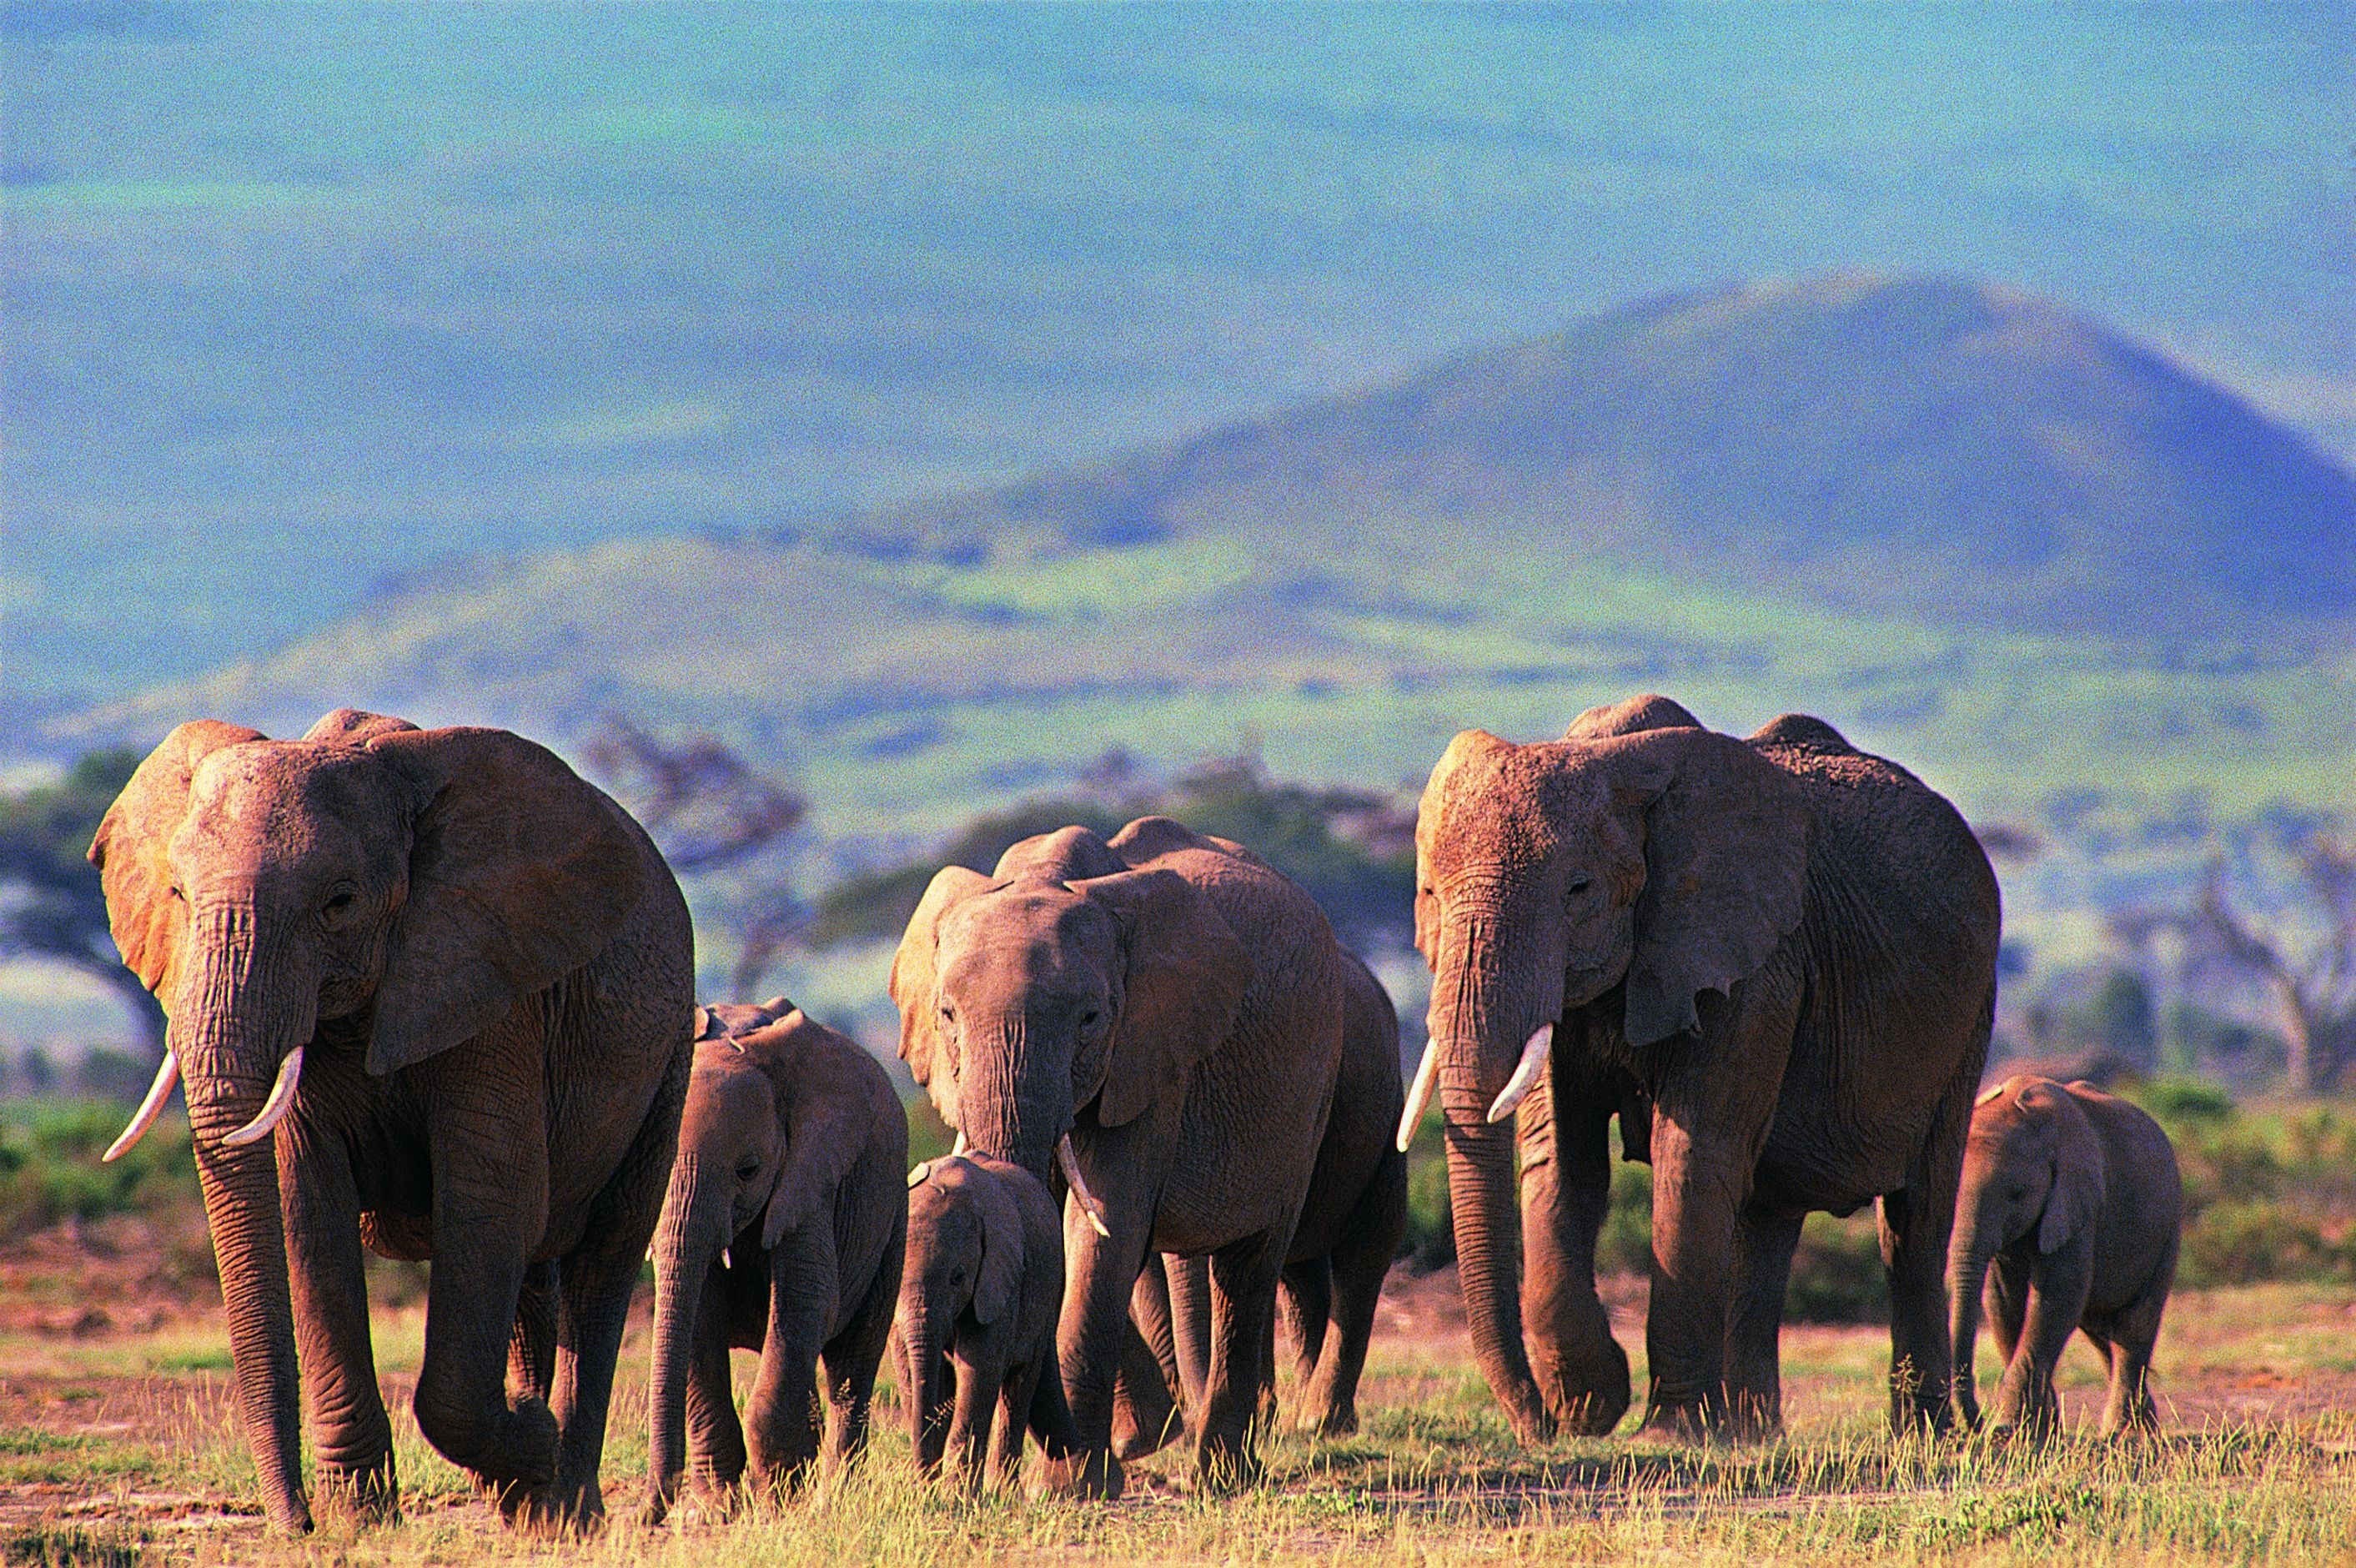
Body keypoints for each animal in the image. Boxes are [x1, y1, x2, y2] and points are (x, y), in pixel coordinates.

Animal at [88, 710, 692, 1533]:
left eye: (339, 903)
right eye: (178, 895)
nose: (294, 1521)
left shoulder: (491, 989)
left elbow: (488, 1196)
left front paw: (529, 1443)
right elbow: (310, 1207)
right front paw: (359, 1519)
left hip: (668, 1055)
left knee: (604, 1259)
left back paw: (564, 1504)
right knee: (533, 1274)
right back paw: (524, 1497)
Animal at [644, 998, 907, 1521]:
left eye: (748, 1171)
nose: (646, 1513)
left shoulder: (811, 1180)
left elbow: (808, 1302)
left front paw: (777, 1504)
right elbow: (697, 1317)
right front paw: (714, 1510)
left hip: (893, 1218)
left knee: (854, 1362)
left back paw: (832, 1498)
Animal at [895, 1152, 1079, 1492]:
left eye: (958, 1278)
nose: (920, 1483)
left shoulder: (1000, 1282)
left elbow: (980, 1369)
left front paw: (959, 1496)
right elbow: (913, 1371)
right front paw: (927, 1493)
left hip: (1049, 1292)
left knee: (1018, 1390)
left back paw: (1006, 1493)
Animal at [1405, 693, 2000, 1443]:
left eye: (1578, 889)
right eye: (1429, 893)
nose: (1534, 1426)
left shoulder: (1754, 965)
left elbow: (1691, 1154)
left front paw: (1665, 1431)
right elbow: (1560, 1161)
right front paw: (1589, 1404)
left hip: (1969, 1014)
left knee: (1912, 1224)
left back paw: (1921, 1436)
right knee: (1765, 1216)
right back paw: (1751, 1434)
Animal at [1950, 1075, 2182, 1438]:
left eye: (2017, 1194)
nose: (1981, 1426)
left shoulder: (2079, 1200)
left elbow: (2057, 1297)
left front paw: (2017, 1428)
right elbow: (2002, 1302)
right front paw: (2040, 1430)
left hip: (2168, 1227)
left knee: (2134, 1324)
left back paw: (2127, 1433)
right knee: (2102, 1332)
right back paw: (2142, 1427)